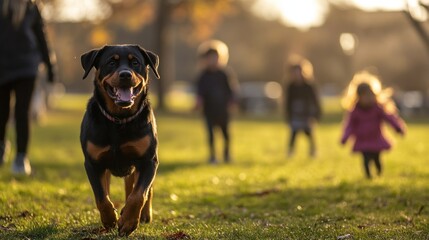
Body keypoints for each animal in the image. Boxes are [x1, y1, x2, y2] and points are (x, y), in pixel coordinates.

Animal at [79, 45, 160, 236]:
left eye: (135, 62)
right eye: (111, 62)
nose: (125, 74)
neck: (119, 120)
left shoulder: (148, 161)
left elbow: (139, 194)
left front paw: (128, 222)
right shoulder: (93, 163)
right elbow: (101, 196)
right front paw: (110, 219)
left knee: (143, 190)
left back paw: (144, 214)